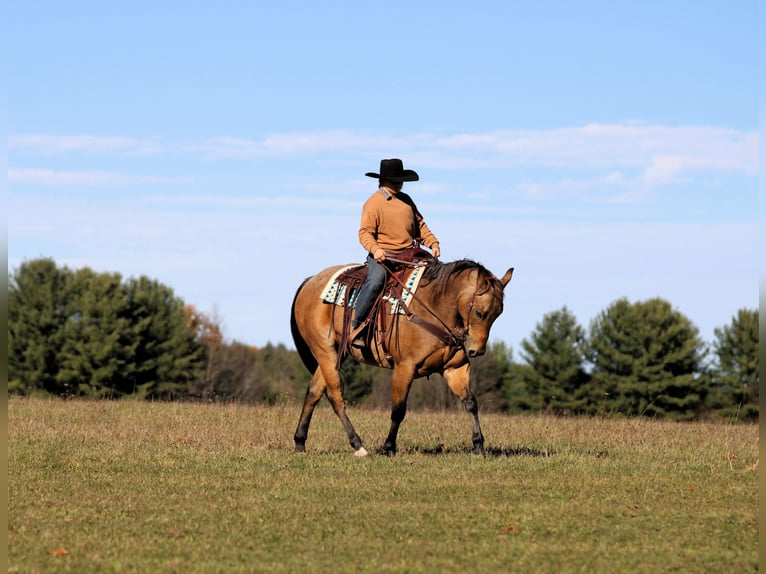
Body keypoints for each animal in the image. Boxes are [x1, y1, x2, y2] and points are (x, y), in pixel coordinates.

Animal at [290, 256, 514, 456]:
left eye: (498, 314)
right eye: (480, 312)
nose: (477, 351)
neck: (434, 307)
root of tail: (311, 281)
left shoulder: (455, 369)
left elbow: (470, 402)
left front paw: (478, 444)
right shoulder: (404, 367)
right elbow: (398, 410)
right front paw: (389, 447)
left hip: (337, 353)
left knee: (314, 391)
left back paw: (300, 442)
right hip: (325, 351)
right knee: (336, 397)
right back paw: (358, 445)